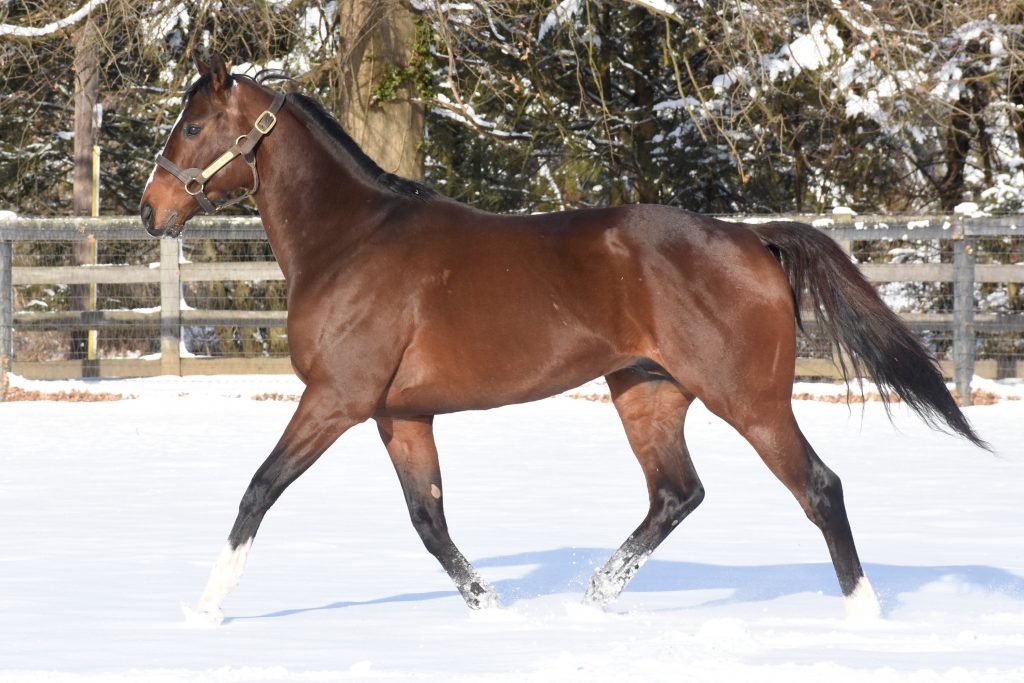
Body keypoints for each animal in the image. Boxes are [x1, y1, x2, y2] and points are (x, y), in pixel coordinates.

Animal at [140, 56, 987, 626]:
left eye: (193, 125)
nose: (151, 210)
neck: (351, 241)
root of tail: (751, 238)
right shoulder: (399, 413)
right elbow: (429, 521)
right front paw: (491, 608)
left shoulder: (336, 399)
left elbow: (260, 488)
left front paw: (205, 609)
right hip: (647, 392)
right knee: (676, 493)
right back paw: (592, 598)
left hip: (748, 399)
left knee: (819, 486)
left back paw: (863, 616)